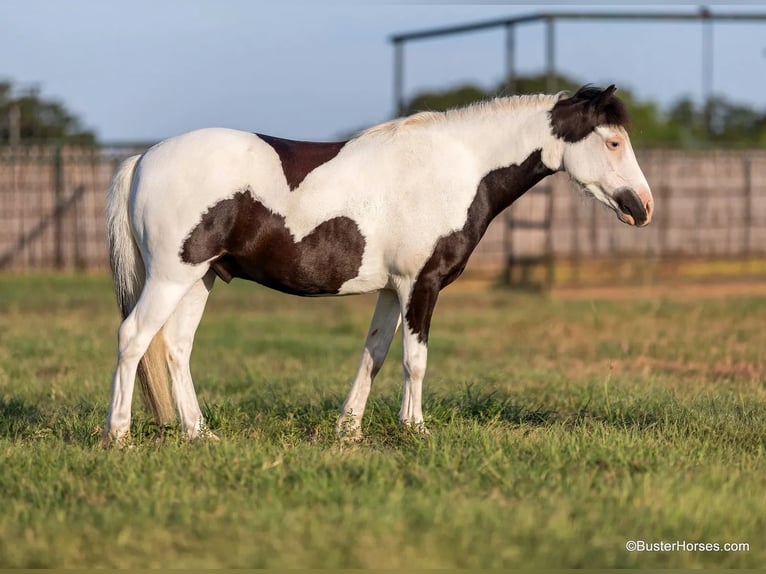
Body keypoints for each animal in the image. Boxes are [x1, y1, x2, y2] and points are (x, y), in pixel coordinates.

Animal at [102, 84, 653, 444]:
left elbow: (375, 355)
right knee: (133, 338)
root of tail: (142, 159)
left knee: (176, 347)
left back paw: (199, 434)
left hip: (201, 279)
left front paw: (348, 431)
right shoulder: (420, 285)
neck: (457, 167)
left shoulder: (392, 290)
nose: (643, 207)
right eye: (613, 142)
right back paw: (119, 435)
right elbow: (415, 360)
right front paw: (416, 430)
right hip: (172, 276)